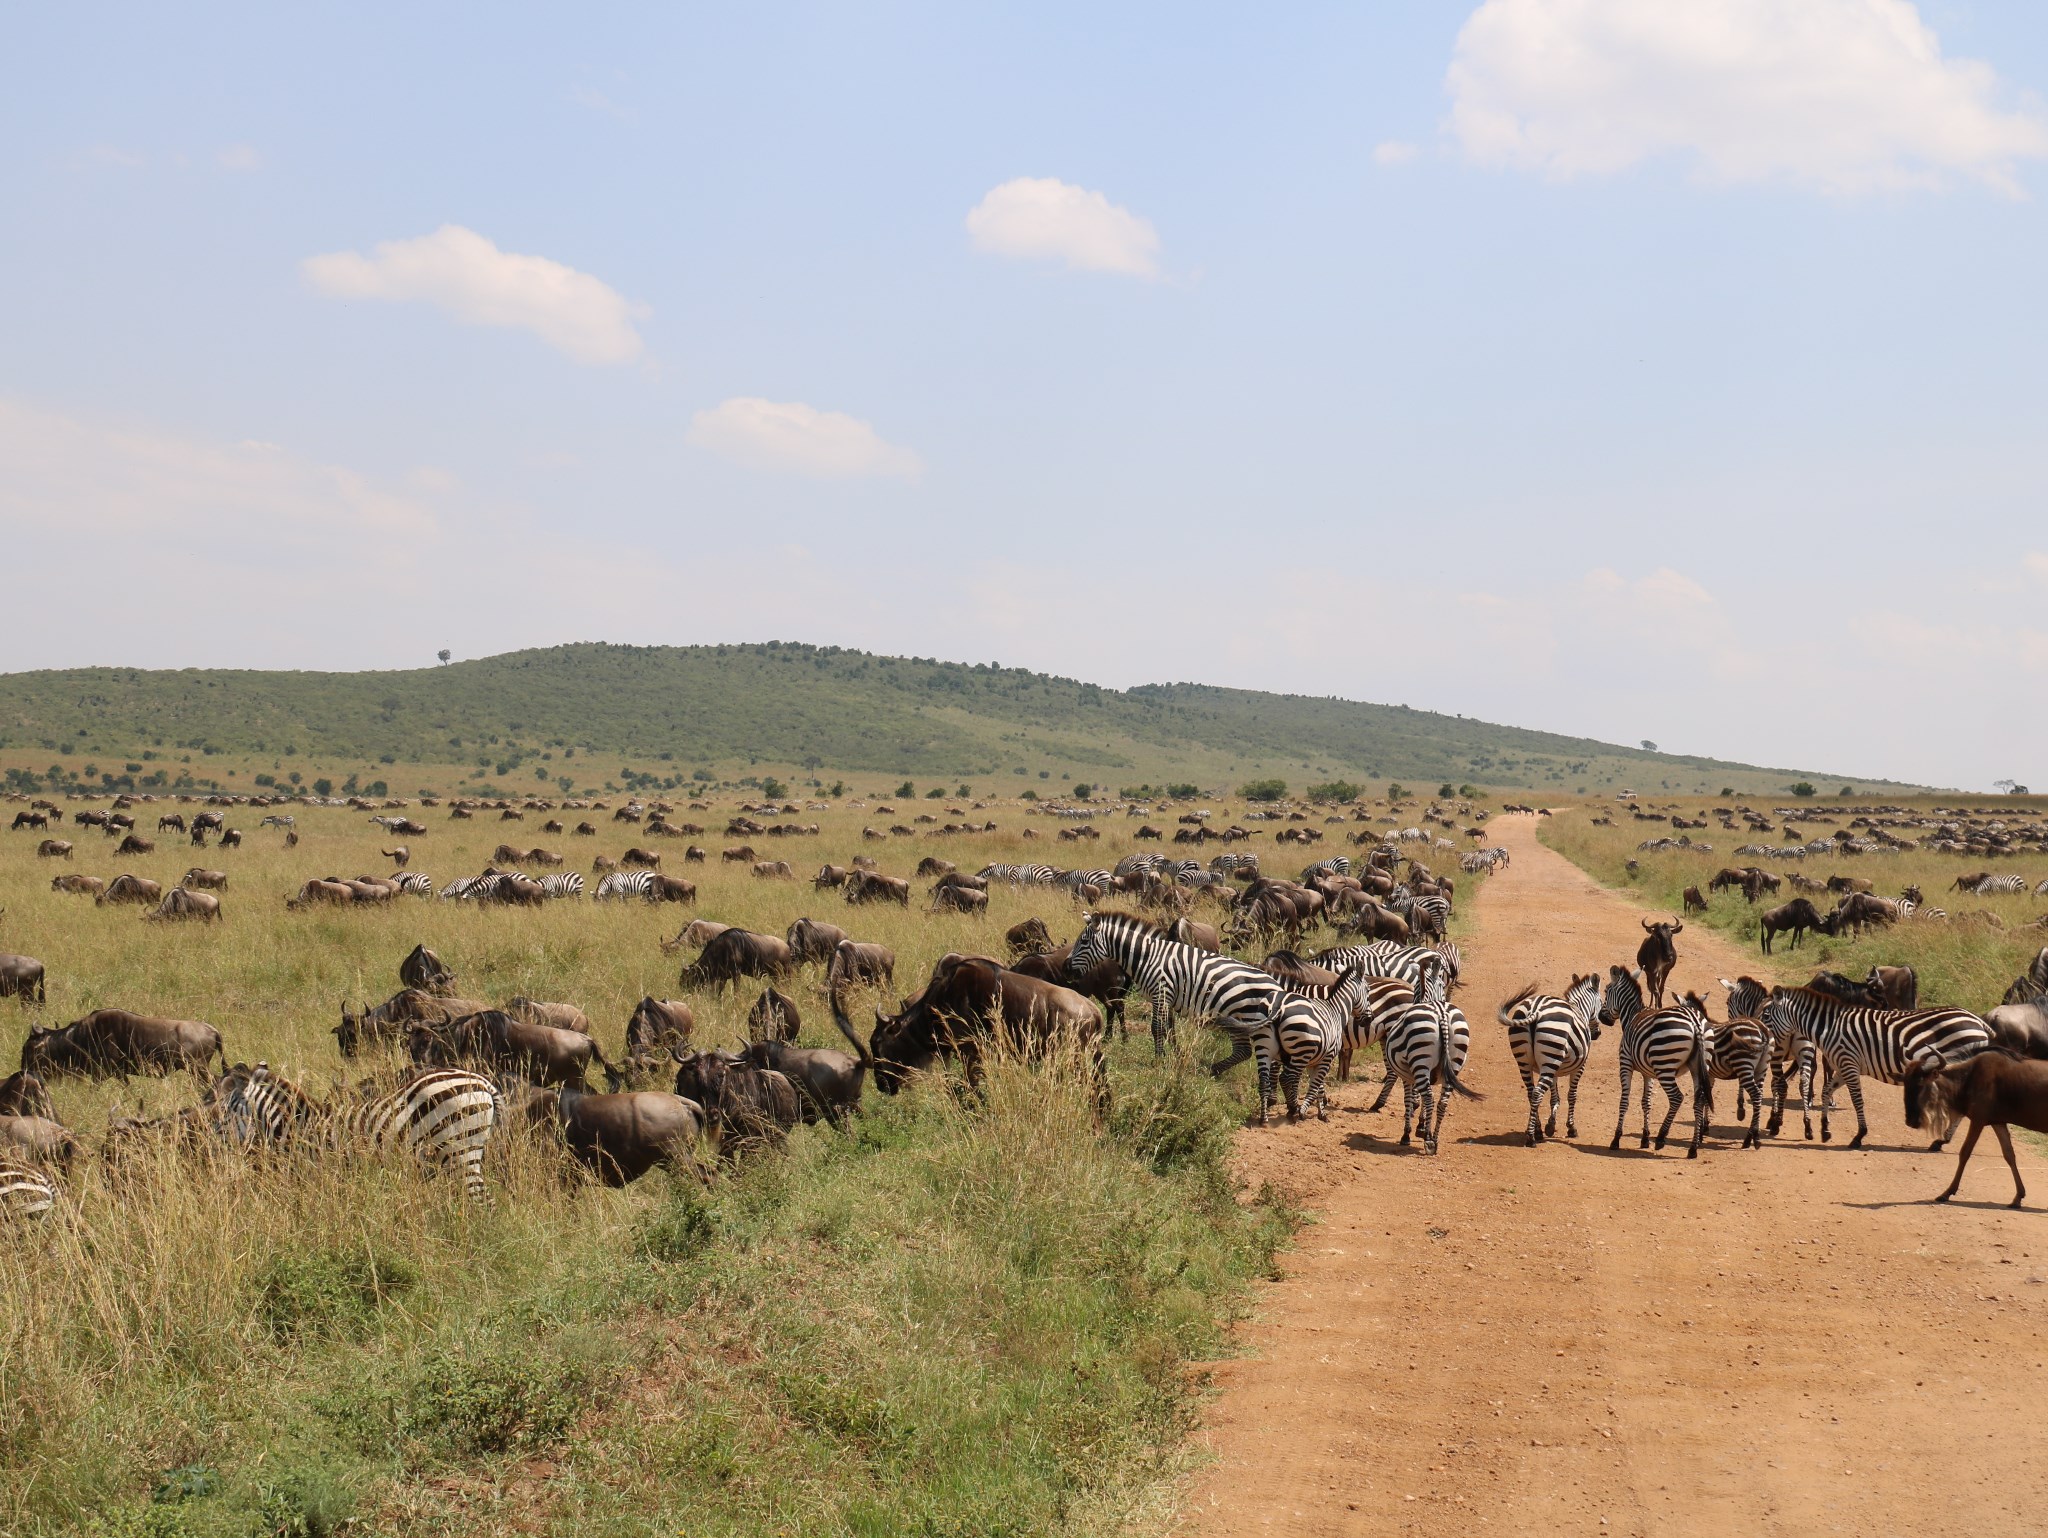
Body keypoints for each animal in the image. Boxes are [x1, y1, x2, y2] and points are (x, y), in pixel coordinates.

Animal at [1073, 909, 1277, 1089]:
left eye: (1083, 942)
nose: (1068, 968)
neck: (1149, 957)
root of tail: (1276, 986)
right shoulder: (1167, 996)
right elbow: (1168, 1028)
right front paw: (1174, 1054)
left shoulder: (1161, 992)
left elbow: (1157, 1028)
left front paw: (1158, 1060)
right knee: (1245, 1051)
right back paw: (1214, 1070)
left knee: (1252, 1052)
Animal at [1376, 962, 1474, 1155]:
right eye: (1442, 985)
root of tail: (1441, 1013)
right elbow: (1419, 1098)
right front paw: (1422, 1126)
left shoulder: (1408, 1075)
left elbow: (1409, 1099)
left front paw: (1409, 1133)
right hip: (1453, 1063)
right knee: (1442, 1101)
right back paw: (1434, 1139)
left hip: (1420, 1057)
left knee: (1429, 1097)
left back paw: (1428, 1141)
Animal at [1499, 974, 1605, 1146]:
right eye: (1601, 1003)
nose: (1597, 1034)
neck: (1580, 1009)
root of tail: (1535, 1009)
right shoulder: (1580, 1066)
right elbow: (1571, 1096)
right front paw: (1571, 1128)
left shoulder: (1554, 1068)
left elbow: (1555, 1098)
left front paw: (1550, 1125)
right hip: (1550, 1054)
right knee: (1537, 1093)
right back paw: (1531, 1137)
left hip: (1526, 1061)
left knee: (1531, 1093)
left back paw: (1537, 1130)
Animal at [1597, 966, 1712, 1163]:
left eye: (1606, 990)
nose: (1601, 1017)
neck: (1632, 1015)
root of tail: (1694, 1020)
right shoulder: (1648, 1072)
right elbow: (1646, 1102)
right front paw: (1644, 1138)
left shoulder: (1625, 1063)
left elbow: (1624, 1101)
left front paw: (1616, 1138)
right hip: (1697, 1067)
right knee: (1700, 1099)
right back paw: (1693, 1148)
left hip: (1664, 1065)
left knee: (1677, 1097)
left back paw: (1661, 1138)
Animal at [1753, 991, 1990, 1146]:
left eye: (1766, 1016)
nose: (1759, 1031)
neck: (1829, 1028)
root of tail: (1978, 1021)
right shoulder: (1843, 1066)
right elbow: (1826, 1091)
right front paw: (1825, 1129)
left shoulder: (1849, 1063)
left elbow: (1857, 1100)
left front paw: (1859, 1135)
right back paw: (1942, 1141)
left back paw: (1941, 1141)